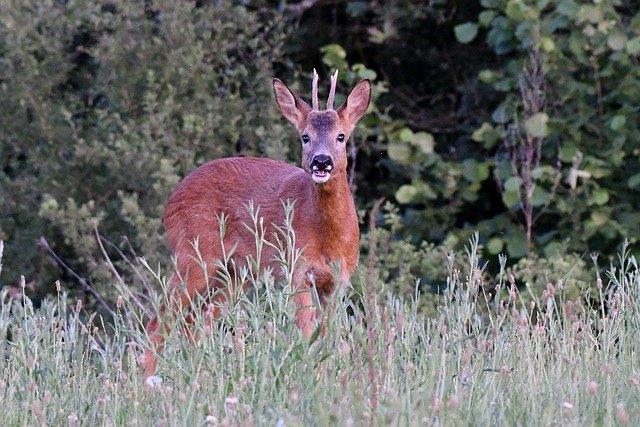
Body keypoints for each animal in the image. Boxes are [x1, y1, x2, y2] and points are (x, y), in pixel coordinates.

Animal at [140, 71, 370, 382]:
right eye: (305, 136)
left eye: (341, 136)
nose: (321, 162)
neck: (328, 237)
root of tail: (172, 197)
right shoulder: (296, 268)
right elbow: (306, 332)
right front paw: (309, 376)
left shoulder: (338, 280)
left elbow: (328, 336)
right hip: (193, 254)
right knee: (161, 319)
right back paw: (145, 382)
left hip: (235, 272)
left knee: (194, 323)